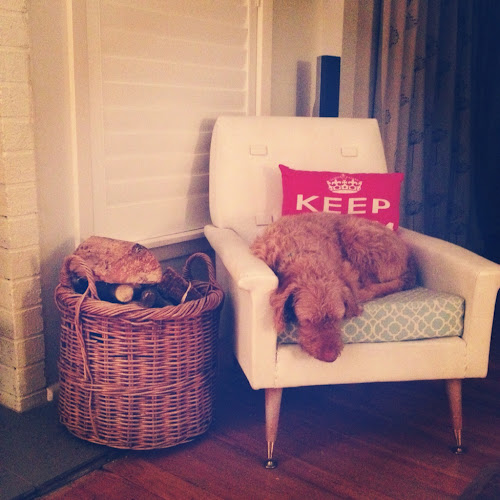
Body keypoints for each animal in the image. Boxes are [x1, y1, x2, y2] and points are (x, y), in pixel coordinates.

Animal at [250, 213, 417, 362]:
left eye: (337, 318)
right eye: (307, 320)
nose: (330, 357)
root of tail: (409, 260)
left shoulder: (347, 271)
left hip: (355, 234)